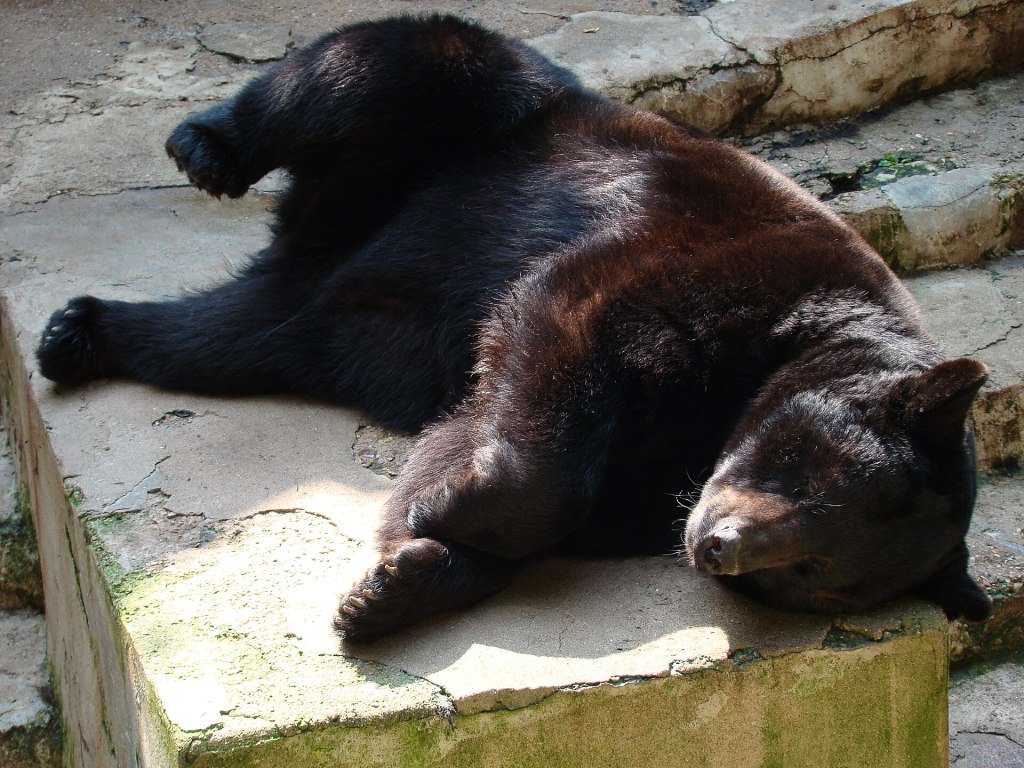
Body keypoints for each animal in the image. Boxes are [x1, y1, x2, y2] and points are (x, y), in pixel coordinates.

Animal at [36, 14, 991, 641]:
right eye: (804, 470)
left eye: (814, 575)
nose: (717, 545)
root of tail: (322, 243)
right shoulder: (705, 260)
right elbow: (559, 331)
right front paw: (442, 517)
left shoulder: (651, 488)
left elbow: (480, 449)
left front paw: (398, 575)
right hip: (491, 117)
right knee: (386, 65)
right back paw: (204, 149)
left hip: (307, 303)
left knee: (222, 337)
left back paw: (83, 332)